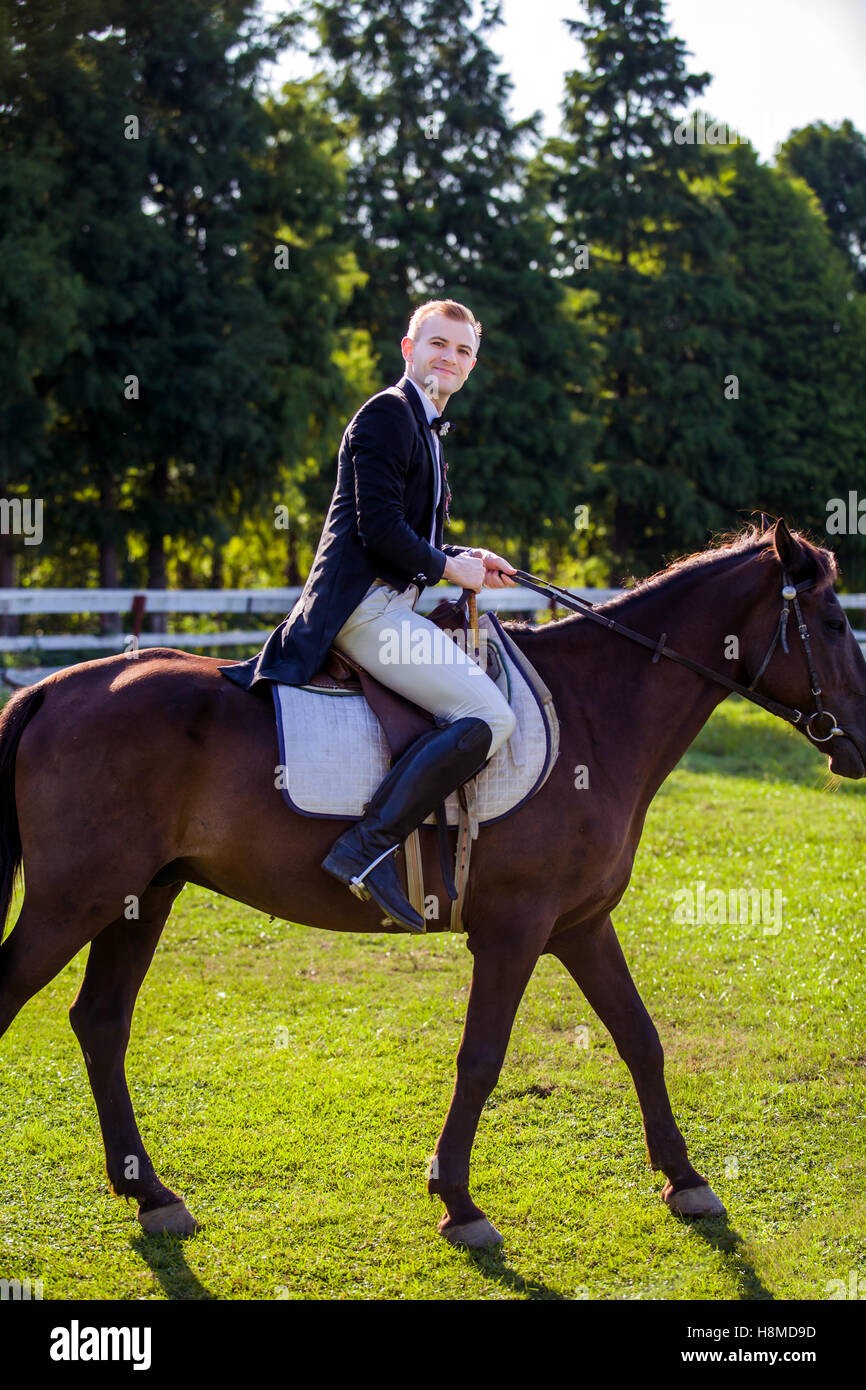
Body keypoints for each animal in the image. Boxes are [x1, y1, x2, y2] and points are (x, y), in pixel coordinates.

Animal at [0, 518, 863, 1248]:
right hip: (72, 901)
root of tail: (57, 687)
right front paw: (459, 1202)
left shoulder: (581, 925)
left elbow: (640, 1039)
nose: (860, 743)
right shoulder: (515, 930)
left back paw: (151, 1194)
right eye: (831, 623)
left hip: (140, 897)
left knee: (101, 1023)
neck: (595, 712)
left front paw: (684, 1180)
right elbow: (482, 1057)